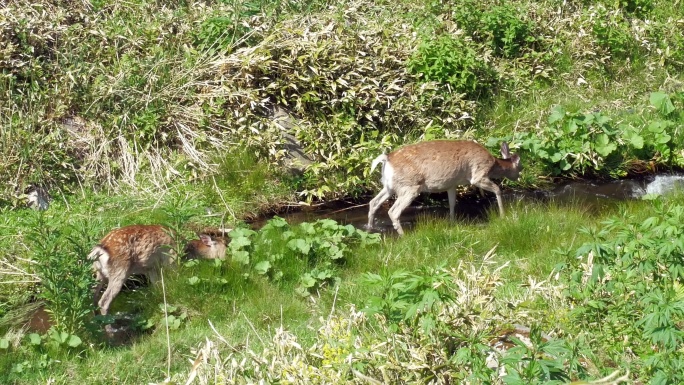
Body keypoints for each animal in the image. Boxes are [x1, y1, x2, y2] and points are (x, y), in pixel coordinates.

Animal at [89, 224, 230, 314]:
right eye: (226, 244)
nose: (227, 258)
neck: (186, 252)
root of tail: (98, 250)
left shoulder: (151, 268)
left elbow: (157, 287)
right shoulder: (171, 261)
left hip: (99, 274)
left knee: (93, 297)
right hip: (119, 270)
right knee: (104, 301)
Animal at [368, 139, 524, 234]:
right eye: (520, 167)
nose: (519, 176)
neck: (493, 164)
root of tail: (387, 159)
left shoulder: (451, 184)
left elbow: (452, 203)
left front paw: (452, 222)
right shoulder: (478, 175)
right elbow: (497, 189)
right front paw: (503, 215)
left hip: (390, 186)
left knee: (373, 202)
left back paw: (370, 229)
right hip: (409, 186)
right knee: (393, 211)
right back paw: (403, 235)